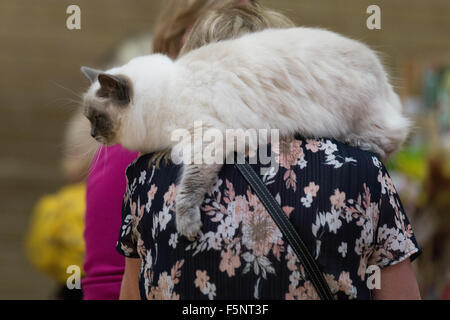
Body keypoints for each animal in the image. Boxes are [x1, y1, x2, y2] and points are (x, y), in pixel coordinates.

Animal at [79, 27, 410, 240]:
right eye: (88, 120)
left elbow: (187, 189)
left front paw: (186, 225)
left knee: (395, 137)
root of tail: (382, 75)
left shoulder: (206, 140)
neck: (165, 92)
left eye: (97, 119)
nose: (93, 135)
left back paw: (359, 141)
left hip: (364, 118)